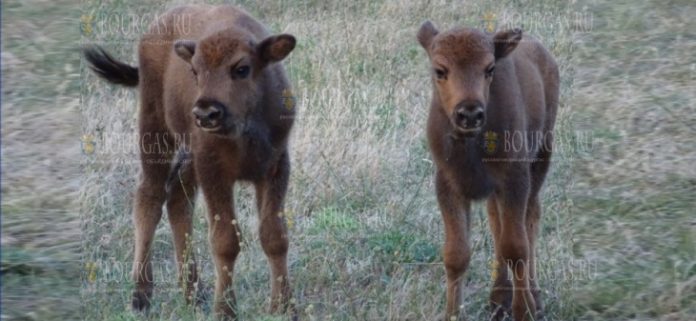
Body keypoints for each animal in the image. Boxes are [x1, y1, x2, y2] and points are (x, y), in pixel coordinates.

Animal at [83, 5, 296, 320]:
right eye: (195, 71)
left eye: (242, 68)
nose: (206, 113)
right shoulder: (214, 172)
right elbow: (225, 241)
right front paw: (225, 311)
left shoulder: (275, 167)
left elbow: (274, 236)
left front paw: (284, 308)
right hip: (155, 132)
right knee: (150, 198)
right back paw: (141, 297)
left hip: (188, 158)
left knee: (177, 201)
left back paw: (193, 295)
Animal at [418, 20, 560, 320]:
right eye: (439, 70)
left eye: (490, 68)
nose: (470, 113)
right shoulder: (449, 185)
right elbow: (456, 254)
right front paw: (452, 314)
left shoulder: (514, 180)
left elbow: (516, 247)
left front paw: (524, 310)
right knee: (497, 222)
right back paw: (498, 299)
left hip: (542, 156)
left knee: (531, 218)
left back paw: (534, 297)